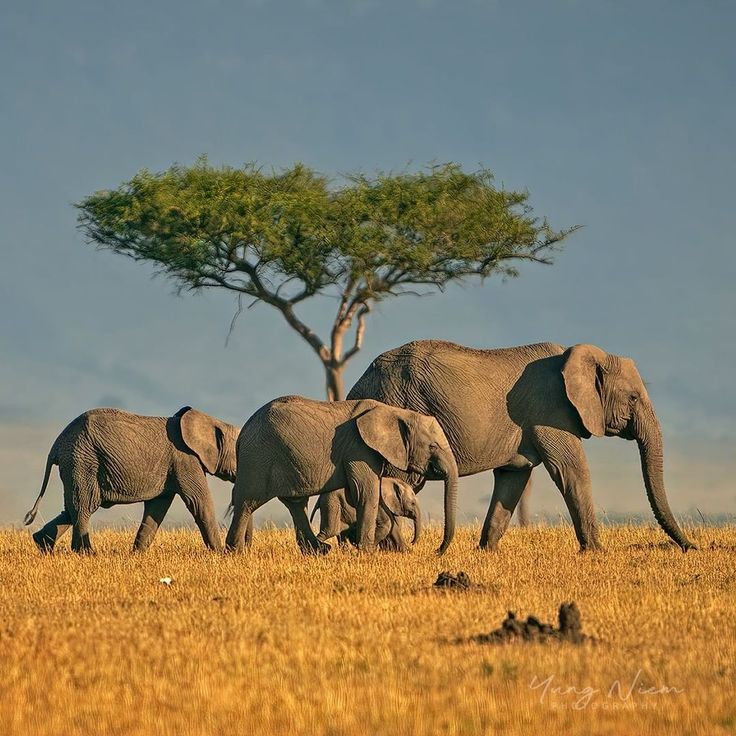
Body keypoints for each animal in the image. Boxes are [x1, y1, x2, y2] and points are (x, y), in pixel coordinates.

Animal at [23, 406, 239, 553]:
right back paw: (86, 554)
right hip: (83, 461)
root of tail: (56, 445)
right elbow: (199, 502)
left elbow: (156, 509)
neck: (212, 421)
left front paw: (136, 554)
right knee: (85, 505)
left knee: (71, 508)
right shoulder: (185, 460)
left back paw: (42, 545)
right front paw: (219, 554)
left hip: (77, 464)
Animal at [225, 395, 458, 554]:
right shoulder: (359, 449)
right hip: (258, 457)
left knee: (296, 504)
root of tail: (242, 433)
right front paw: (366, 552)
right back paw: (235, 552)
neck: (395, 412)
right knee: (247, 501)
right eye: (432, 446)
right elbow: (366, 492)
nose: (436, 552)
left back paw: (319, 551)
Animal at [338, 340, 695, 552]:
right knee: (396, 481)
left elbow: (513, 478)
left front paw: (486, 552)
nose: (692, 547)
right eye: (633, 398)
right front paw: (596, 552)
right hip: (397, 407)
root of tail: (358, 384)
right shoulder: (552, 412)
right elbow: (571, 470)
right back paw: (392, 549)